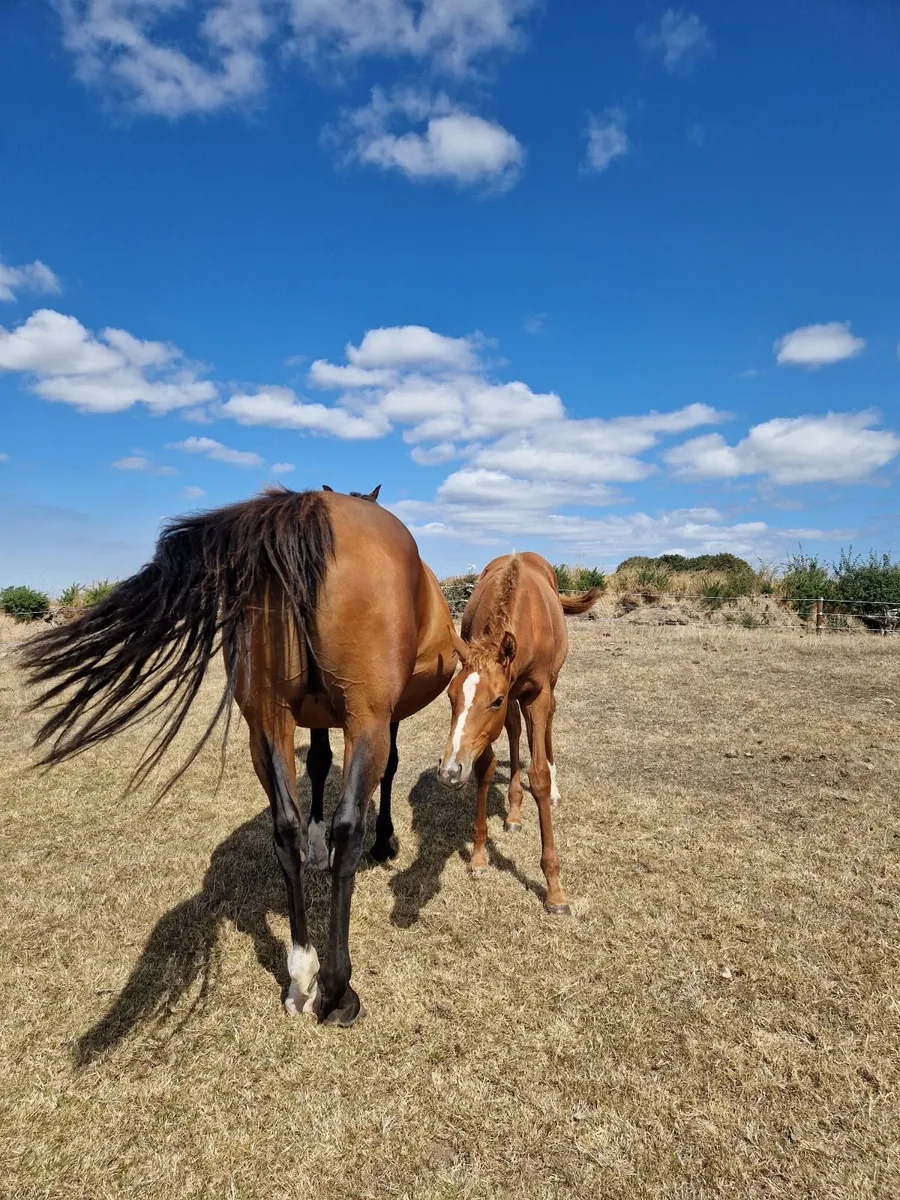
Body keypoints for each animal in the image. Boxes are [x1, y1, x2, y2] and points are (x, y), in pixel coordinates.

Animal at [21, 487, 457, 1026]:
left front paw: (317, 848)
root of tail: (308, 511)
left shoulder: (311, 717)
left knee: (284, 826)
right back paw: (337, 990)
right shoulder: (385, 716)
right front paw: (384, 842)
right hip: (365, 717)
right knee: (348, 825)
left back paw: (301, 975)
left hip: (265, 722)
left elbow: (316, 766)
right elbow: (388, 770)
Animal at [437, 553, 601, 915]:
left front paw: (554, 889)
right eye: (451, 696)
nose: (449, 770)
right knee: (514, 732)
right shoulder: (498, 712)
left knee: (546, 725)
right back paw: (513, 811)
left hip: (546, 687)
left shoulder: (534, 695)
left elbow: (537, 775)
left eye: (494, 700)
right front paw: (479, 856)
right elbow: (485, 768)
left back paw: (553, 791)